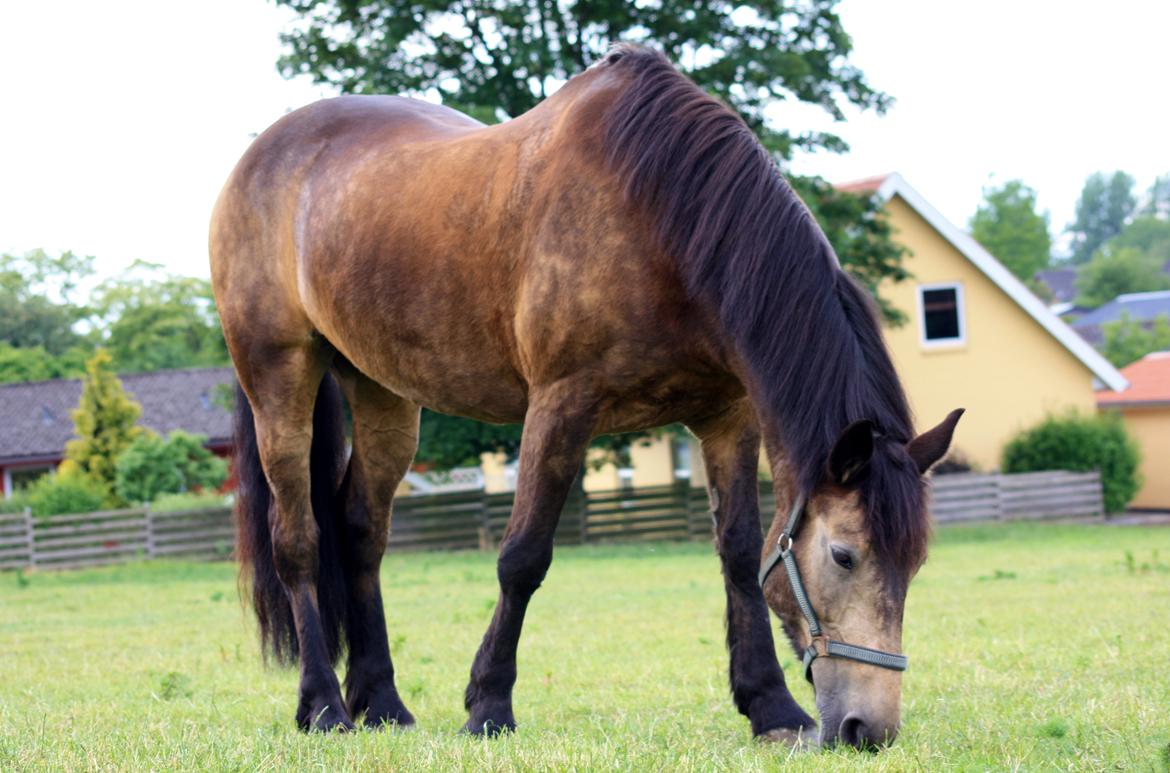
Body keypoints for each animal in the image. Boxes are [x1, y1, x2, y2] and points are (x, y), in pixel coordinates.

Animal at [208, 43, 959, 748]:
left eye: (916, 561)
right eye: (844, 556)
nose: (868, 728)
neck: (660, 216)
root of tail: (261, 156)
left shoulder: (728, 418)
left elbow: (742, 553)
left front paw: (770, 706)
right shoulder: (560, 407)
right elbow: (523, 557)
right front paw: (488, 705)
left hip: (384, 394)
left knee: (362, 533)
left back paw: (383, 703)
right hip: (280, 379)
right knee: (299, 540)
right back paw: (324, 706)